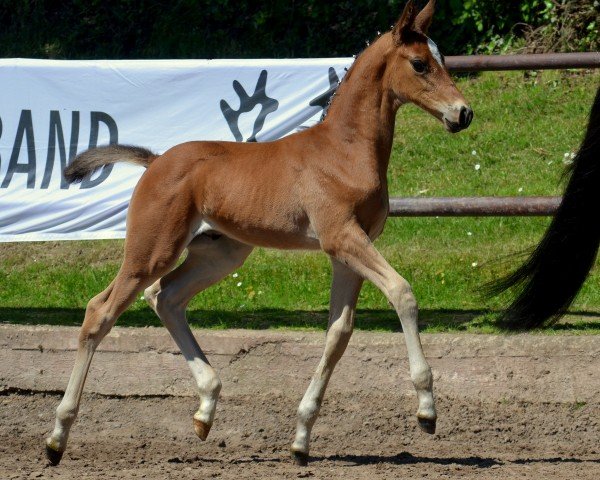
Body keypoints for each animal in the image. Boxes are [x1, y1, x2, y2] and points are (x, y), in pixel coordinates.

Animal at [45, 0, 474, 464]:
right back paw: (56, 438)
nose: (463, 113)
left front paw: (301, 438)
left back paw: (206, 409)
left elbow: (339, 332)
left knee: (166, 297)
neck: (344, 151)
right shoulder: (342, 237)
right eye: (419, 63)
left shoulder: (350, 250)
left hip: (220, 253)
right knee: (100, 311)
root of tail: (156, 161)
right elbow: (402, 293)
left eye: (444, 59)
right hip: (152, 250)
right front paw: (427, 411)